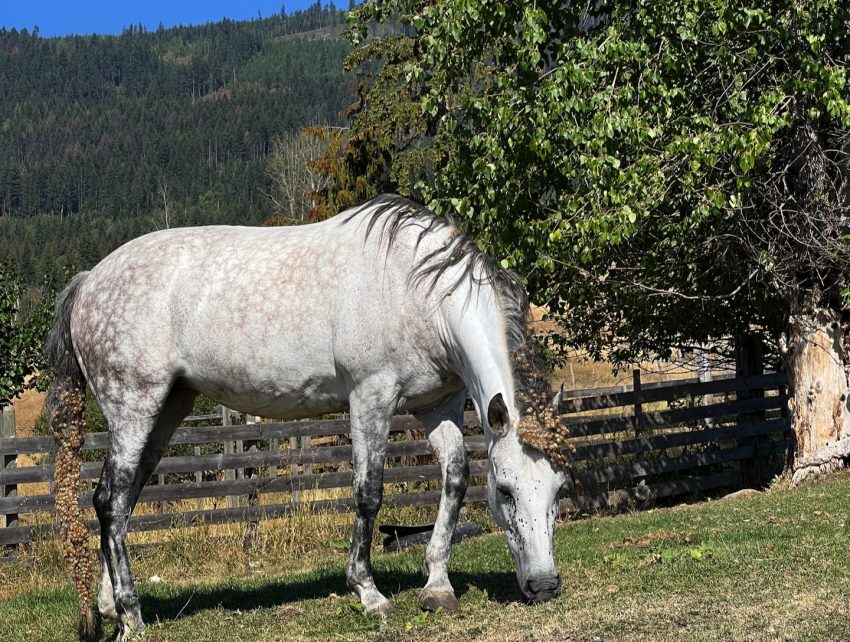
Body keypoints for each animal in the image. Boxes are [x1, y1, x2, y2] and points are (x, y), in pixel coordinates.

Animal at [46, 194, 568, 640]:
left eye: (559, 489)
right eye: (506, 491)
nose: (544, 586)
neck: (416, 289)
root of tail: (89, 280)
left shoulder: (438, 405)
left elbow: (455, 479)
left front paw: (437, 585)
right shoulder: (371, 397)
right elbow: (368, 494)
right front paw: (369, 593)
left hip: (166, 410)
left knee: (122, 500)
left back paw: (110, 606)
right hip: (133, 406)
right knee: (110, 500)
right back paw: (131, 616)